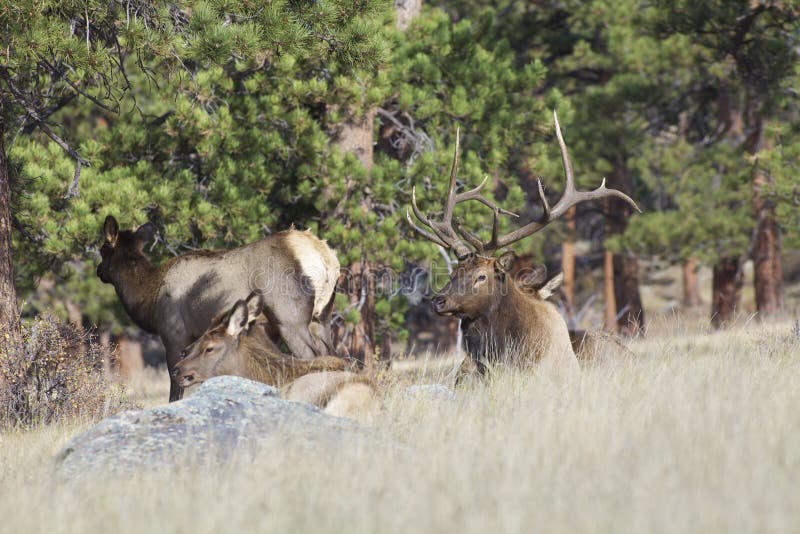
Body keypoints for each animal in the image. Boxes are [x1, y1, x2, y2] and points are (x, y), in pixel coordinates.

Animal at [97, 216, 340, 400]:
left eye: (103, 250)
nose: (99, 270)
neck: (148, 299)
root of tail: (325, 258)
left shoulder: (174, 333)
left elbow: (176, 386)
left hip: (289, 318)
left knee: (310, 356)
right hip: (322, 317)